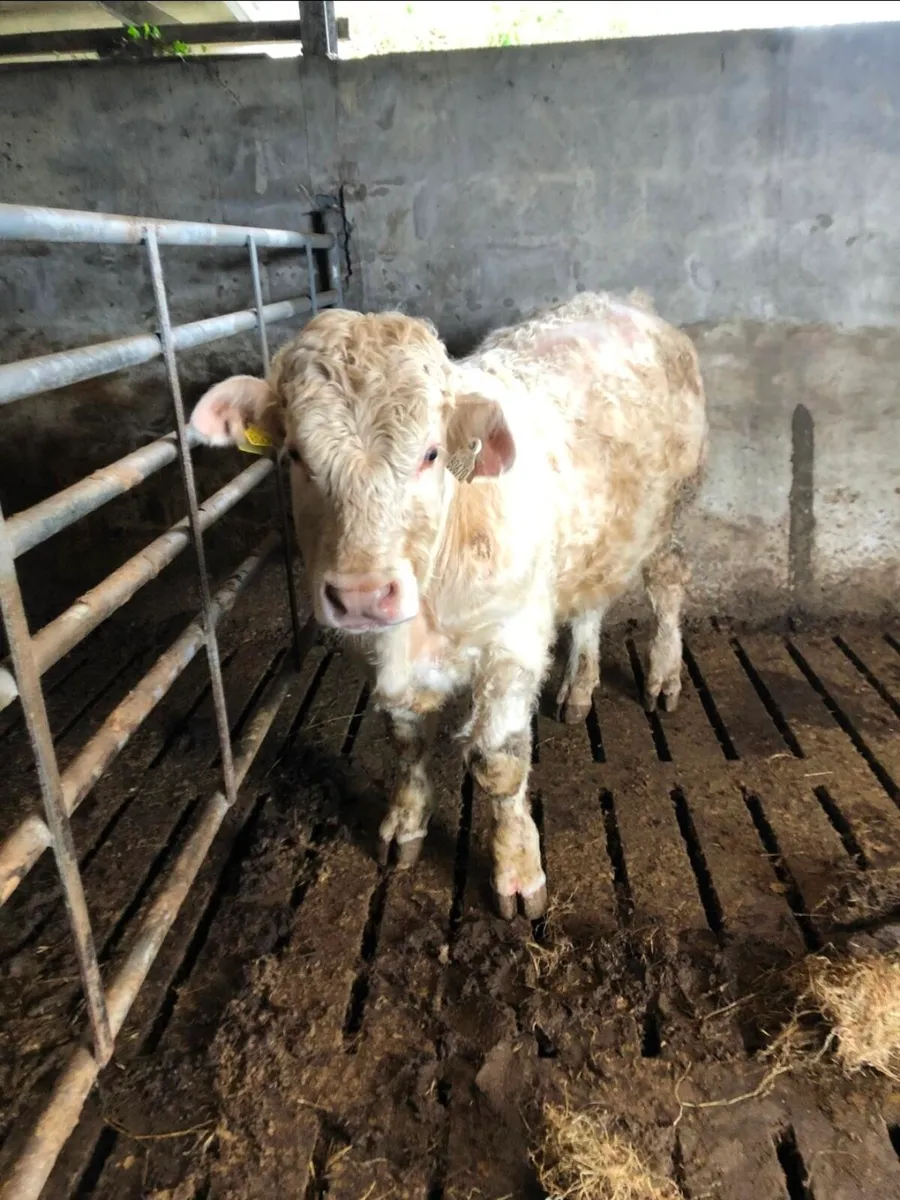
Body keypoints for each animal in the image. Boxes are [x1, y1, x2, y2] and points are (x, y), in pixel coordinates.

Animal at [189, 291, 708, 921]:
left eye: (430, 454)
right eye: (295, 455)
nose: (362, 594)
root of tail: (623, 302)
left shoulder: (512, 645)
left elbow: (498, 762)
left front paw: (517, 870)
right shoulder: (377, 651)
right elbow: (406, 741)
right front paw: (404, 824)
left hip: (673, 509)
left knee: (668, 583)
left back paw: (663, 675)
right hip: (595, 540)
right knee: (589, 607)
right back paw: (579, 687)